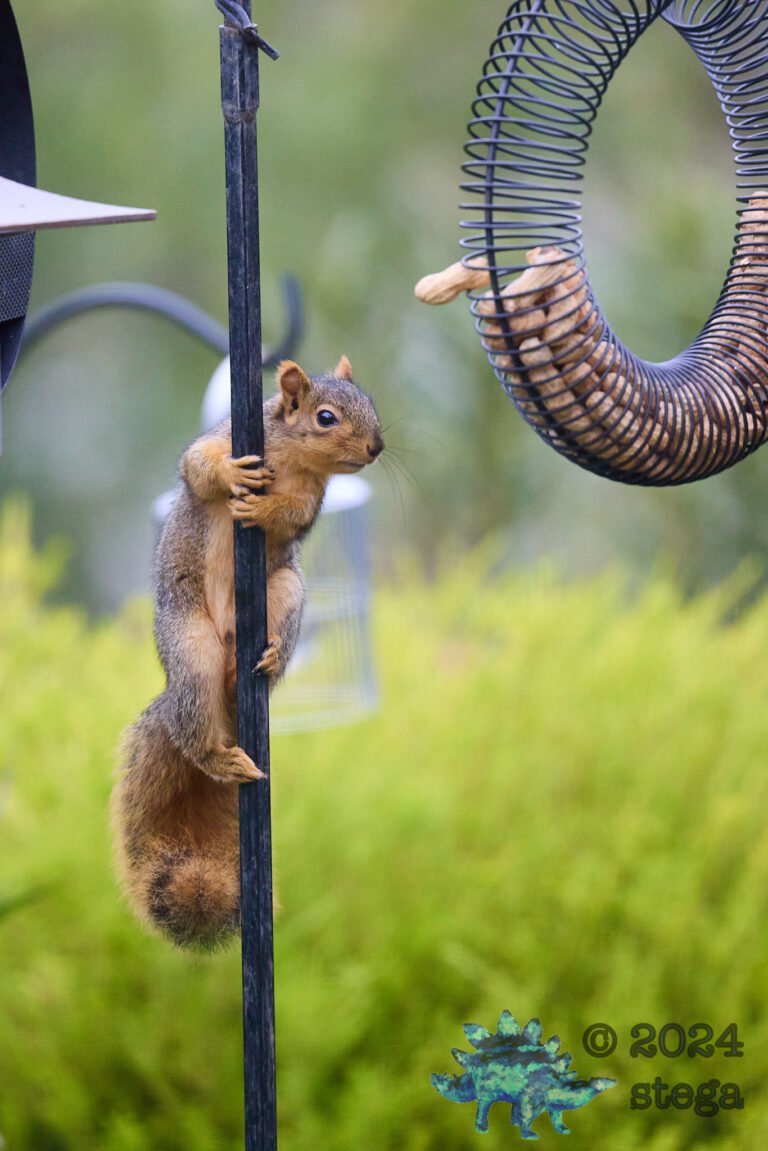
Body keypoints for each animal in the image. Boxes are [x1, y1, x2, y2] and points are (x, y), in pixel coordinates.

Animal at [111, 356, 383, 950]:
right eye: (326, 417)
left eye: (372, 404)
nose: (376, 447)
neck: (290, 455)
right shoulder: (231, 436)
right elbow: (199, 465)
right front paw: (235, 480)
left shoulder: (310, 500)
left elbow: (293, 514)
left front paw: (268, 505)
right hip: (191, 647)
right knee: (194, 717)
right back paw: (216, 754)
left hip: (285, 589)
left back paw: (267, 660)